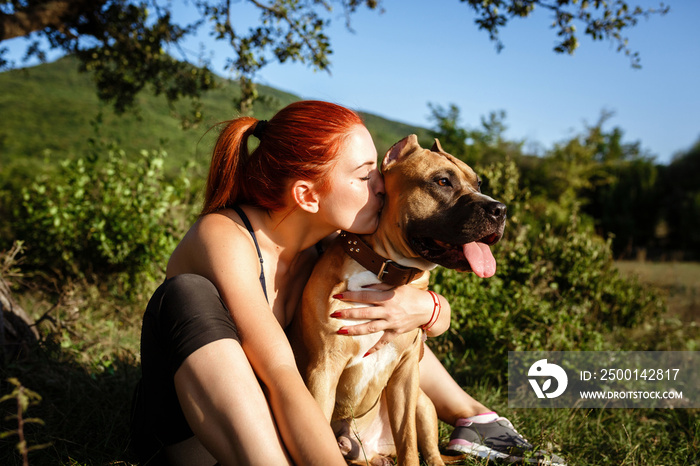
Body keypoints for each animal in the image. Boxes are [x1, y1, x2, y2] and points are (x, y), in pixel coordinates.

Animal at [292, 135, 506, 466]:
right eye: (442, 181)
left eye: (478, 182)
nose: (500, 209)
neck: (383, 269)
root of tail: (371, 449)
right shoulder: (323, 371)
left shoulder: (406, 376)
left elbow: (408, 442)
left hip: (423, 404)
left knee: (428, 450)